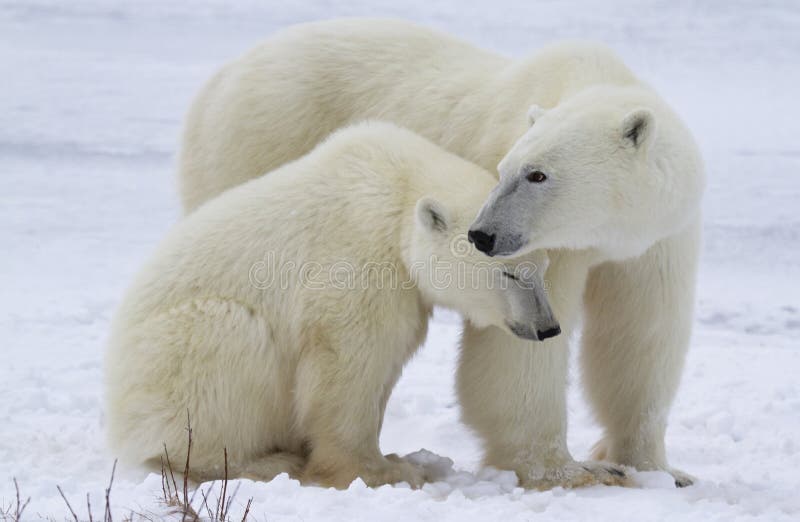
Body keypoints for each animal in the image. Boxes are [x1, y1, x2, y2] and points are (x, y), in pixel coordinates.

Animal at [178, 18, 704, 486]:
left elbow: (642, 334)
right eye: (505, 168)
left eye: (537, 174)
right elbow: (518, 349)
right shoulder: (549, 243)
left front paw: (658, 469)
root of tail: (221, 76)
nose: (483, 235)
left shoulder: (658, 237)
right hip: (260, 142)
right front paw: (567, 471)